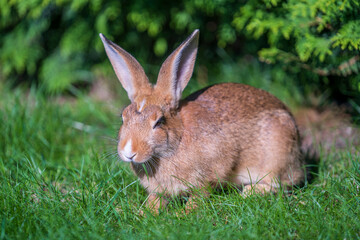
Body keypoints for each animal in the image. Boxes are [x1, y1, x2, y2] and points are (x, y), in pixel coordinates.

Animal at [98, 29, 304, 213]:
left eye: (159, 122)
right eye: (123, 117)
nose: (129, 152)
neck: (176, 142)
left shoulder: (210, 173)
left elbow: (200, 195)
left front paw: (182, 214)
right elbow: (155, 200)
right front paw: (144, 212)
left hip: (276, 155)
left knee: (278, 184)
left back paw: (247, 193)